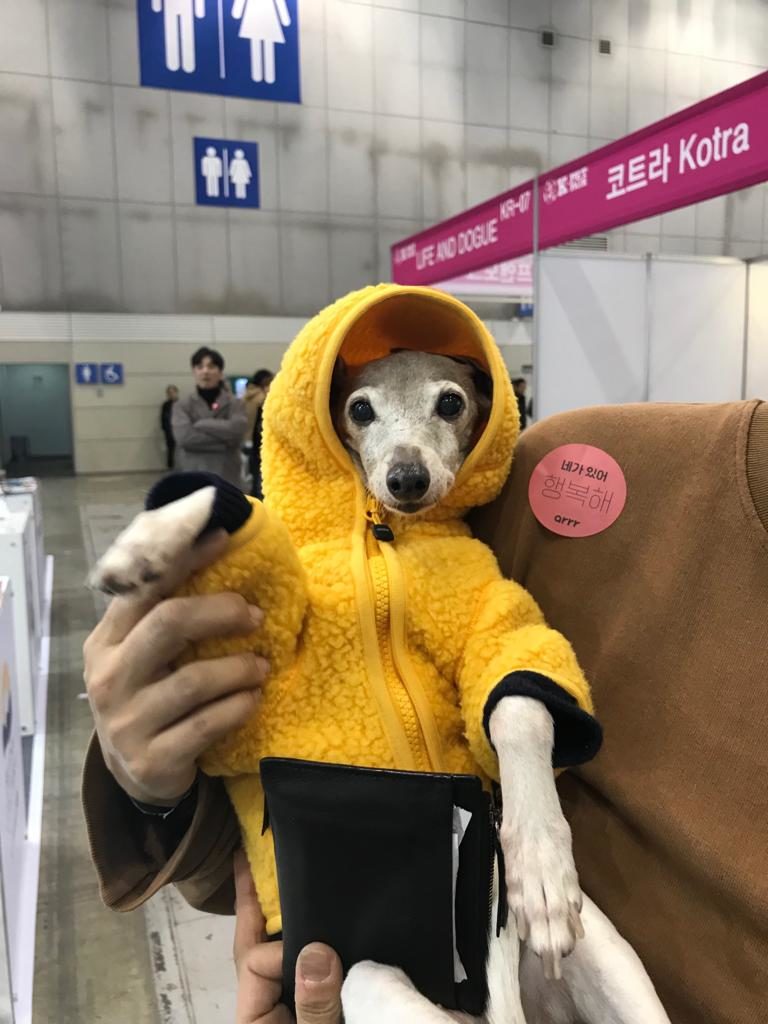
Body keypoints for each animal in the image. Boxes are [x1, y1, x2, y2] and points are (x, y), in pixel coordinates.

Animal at [90, 344, 671, 1024]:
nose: (407, 478)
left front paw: (541, 862)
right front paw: (146, 542)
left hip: (611, 965)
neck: (382, 542)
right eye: (359, 409)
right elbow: (228, 512)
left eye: (451, 402)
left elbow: (516, 700)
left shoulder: (495, 629)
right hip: (357, 971)